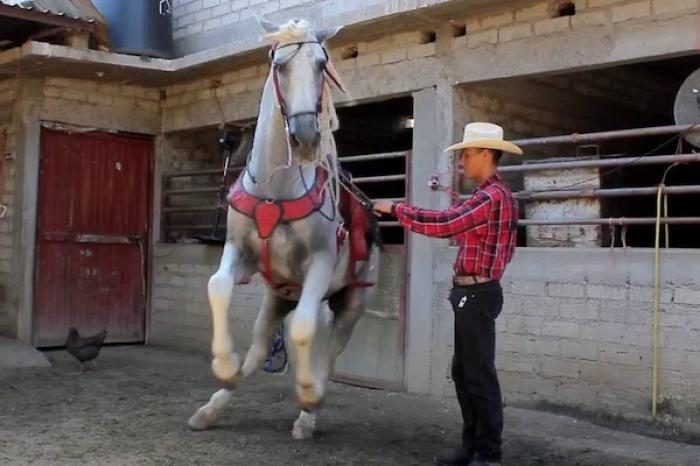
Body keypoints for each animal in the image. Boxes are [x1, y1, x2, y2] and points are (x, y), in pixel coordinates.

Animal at [189, 17, 380, 440]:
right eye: (279, 66)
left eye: (322, 65)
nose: (306, 138)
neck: (275, 191)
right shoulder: (239, 252)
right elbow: (217, 287)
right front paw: (223, 364)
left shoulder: (321, 263)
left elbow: (306, 328)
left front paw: (308, 394)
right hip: (276, 299)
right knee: (262, 348)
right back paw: (215, 403)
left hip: (350, 301)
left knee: (327, 341)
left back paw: (310, 408)